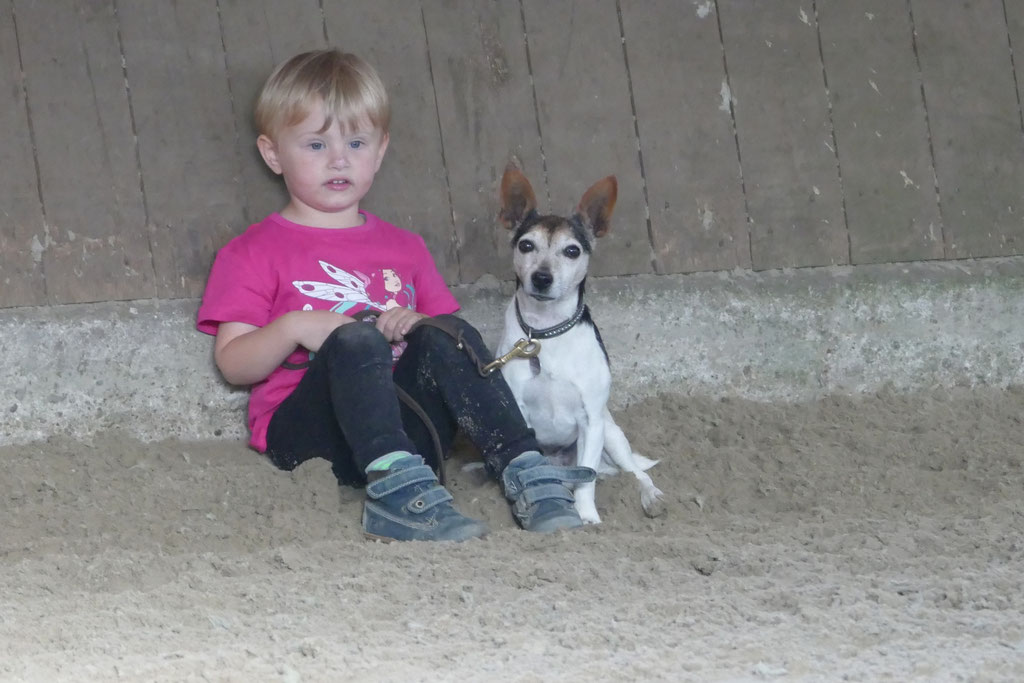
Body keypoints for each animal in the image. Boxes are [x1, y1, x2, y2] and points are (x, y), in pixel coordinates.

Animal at [495, 166, 663, 524]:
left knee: (633, 471)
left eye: (572, 251)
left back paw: (651, 496)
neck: (546, 333)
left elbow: (588, 479)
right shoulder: (519, 415)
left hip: (611, 435)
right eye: (526, 245)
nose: (542, 278)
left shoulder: (591, 421)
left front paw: (587, 517)